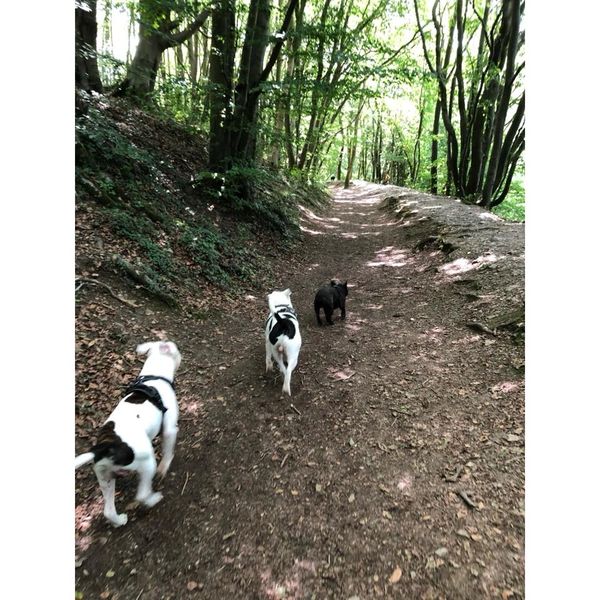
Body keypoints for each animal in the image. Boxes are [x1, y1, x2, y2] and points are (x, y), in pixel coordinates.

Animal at [74, 340, 180, 528]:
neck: (154, 376)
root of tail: (105, 446)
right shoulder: (169, 430)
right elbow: (168, 452)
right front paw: (165, 467)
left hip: (105, 476)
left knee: (108, 511)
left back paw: (120, 521)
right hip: (147, 464)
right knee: (142, 495)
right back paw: (154, 499)